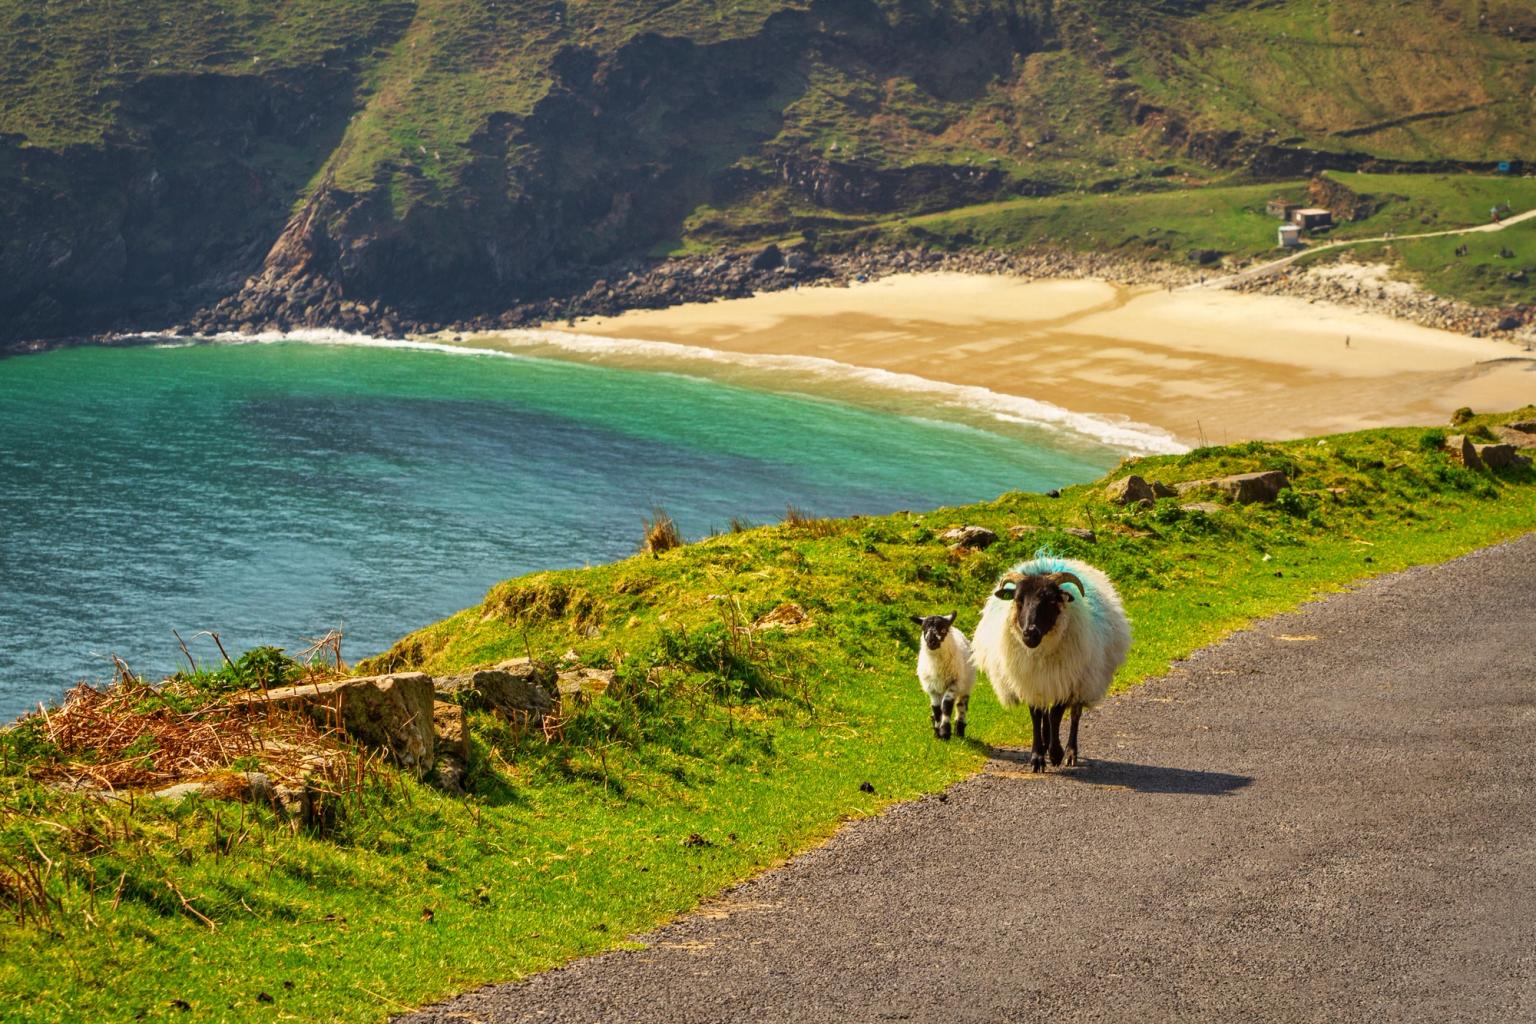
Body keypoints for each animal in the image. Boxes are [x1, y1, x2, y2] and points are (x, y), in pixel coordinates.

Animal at [910, 612, 976, 740]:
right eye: (924, 629)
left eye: (943, 630)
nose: (931, 641)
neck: (937, 667)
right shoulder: (932, 688)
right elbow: (936, 709)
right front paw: (937, 732)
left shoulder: (953, 683)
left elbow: (946, 705)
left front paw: (945, 732)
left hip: (966, 685)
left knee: (961, 706)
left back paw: (959, 730)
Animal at [971, 555, 1130, 772]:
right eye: (1018, 599)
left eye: (1051, 600)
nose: (1030, 633)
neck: (1040, 652)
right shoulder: (1031, 682)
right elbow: (1037, 715)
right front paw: (1037, 756)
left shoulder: (1067, 680)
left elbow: (1056, 714)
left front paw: (1056, 753)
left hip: (1084, 679)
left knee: (1074, 715)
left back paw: (1070, 752)